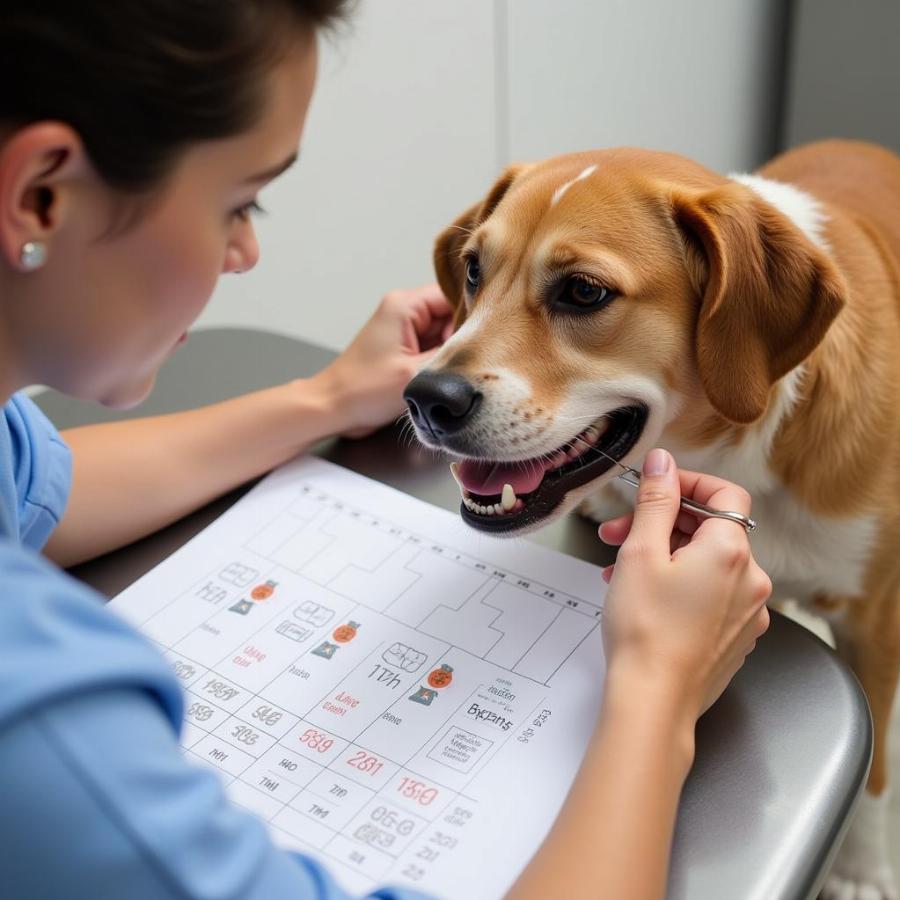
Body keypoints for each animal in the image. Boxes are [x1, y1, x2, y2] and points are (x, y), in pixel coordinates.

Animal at [404, 141, 900, 900]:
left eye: (583, 292)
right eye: (473, 270)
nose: (427, 397)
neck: (741, 448)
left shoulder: (873, 619)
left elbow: (876, 775)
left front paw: (863, 867)